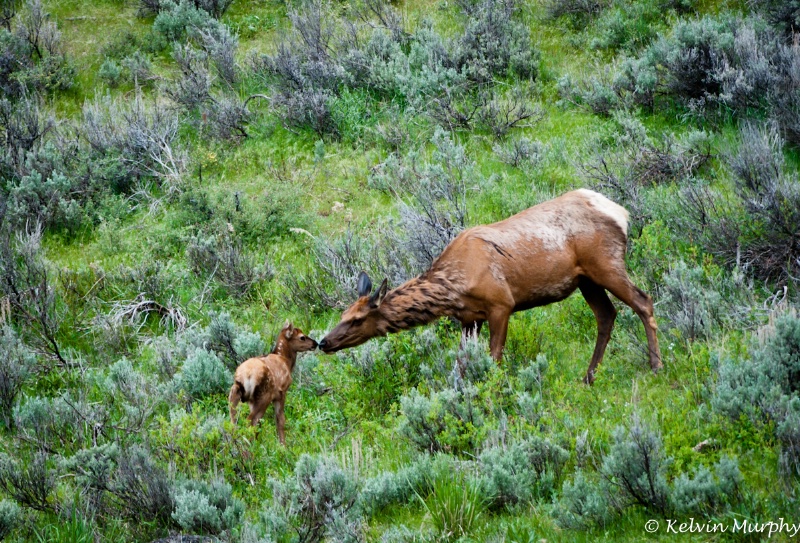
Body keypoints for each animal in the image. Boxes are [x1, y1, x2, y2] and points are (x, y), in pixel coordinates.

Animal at [318, 189, 664, 384]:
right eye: (342, 315)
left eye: (357, 320)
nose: (323, 342)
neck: (453, 287)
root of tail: (622, 213)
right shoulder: (469, 319)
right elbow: (460, 364)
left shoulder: (502, 304)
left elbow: (494, 359)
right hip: (586, 281)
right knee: (607, 315)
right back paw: (589, 376)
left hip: (606, 264)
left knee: (644, 301)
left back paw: (655, 365)